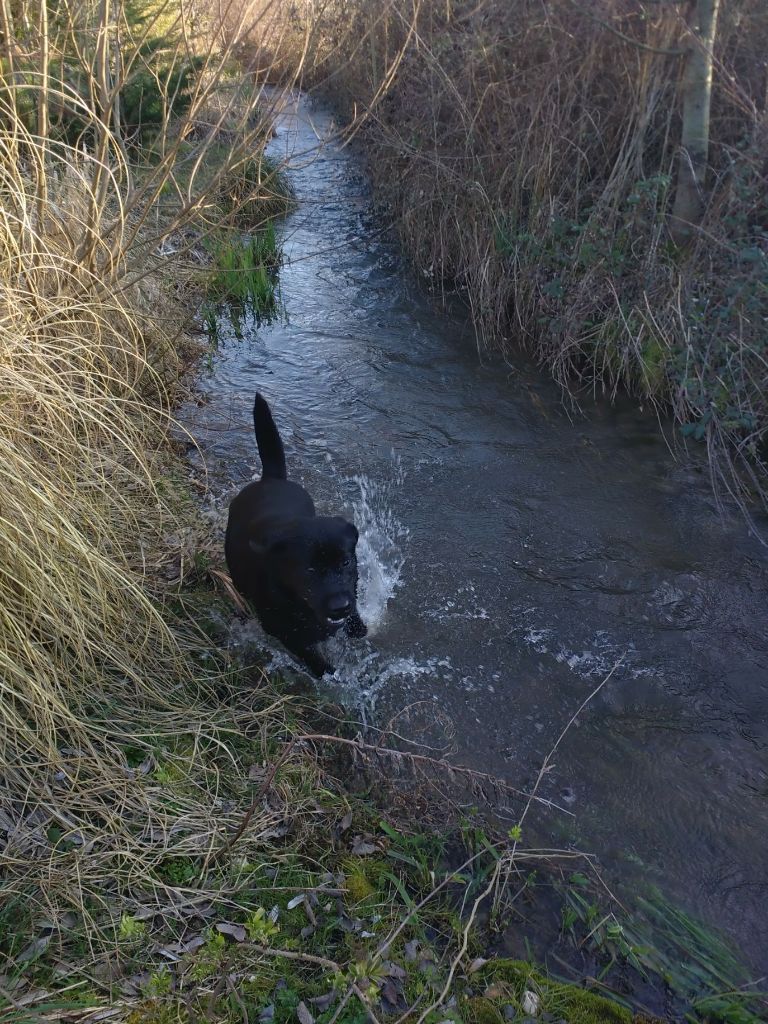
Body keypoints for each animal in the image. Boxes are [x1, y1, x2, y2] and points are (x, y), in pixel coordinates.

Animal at [224, 387, 368, 675]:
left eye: (346, 562)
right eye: (309, 570)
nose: (340, 607)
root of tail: (270, 478)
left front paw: (358, 627)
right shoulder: (285, 634)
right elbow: (316, 662)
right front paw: (330, 674)